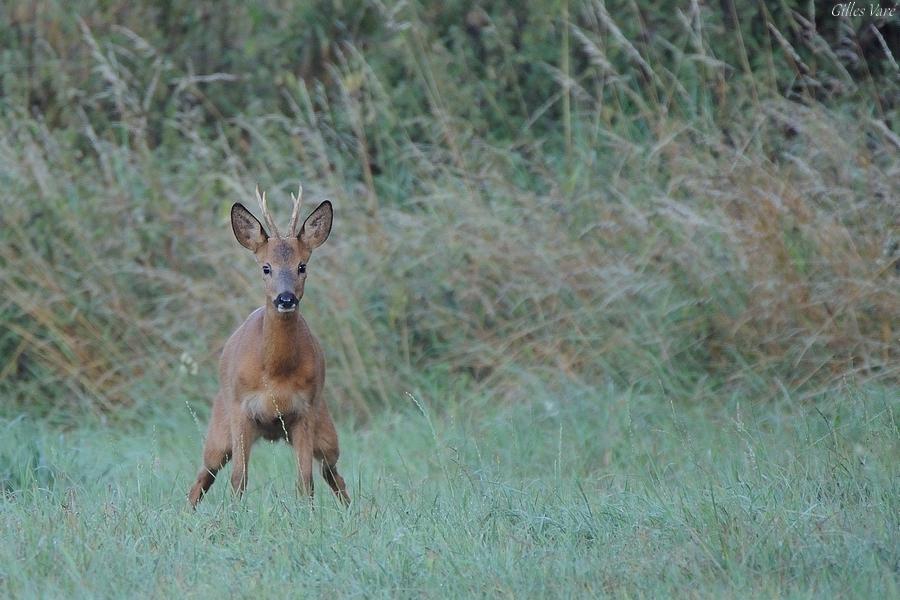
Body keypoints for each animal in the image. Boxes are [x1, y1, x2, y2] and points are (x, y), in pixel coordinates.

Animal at [188, 186, 350, 506]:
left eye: (302, 266)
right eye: (266, 267)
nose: (286, 299)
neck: (275, 373)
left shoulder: (306, 409)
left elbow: (305, 481)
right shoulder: (240, 409)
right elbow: (239, 480)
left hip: (327, 431)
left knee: (333, 473)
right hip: (219, 430)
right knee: (203, 476)